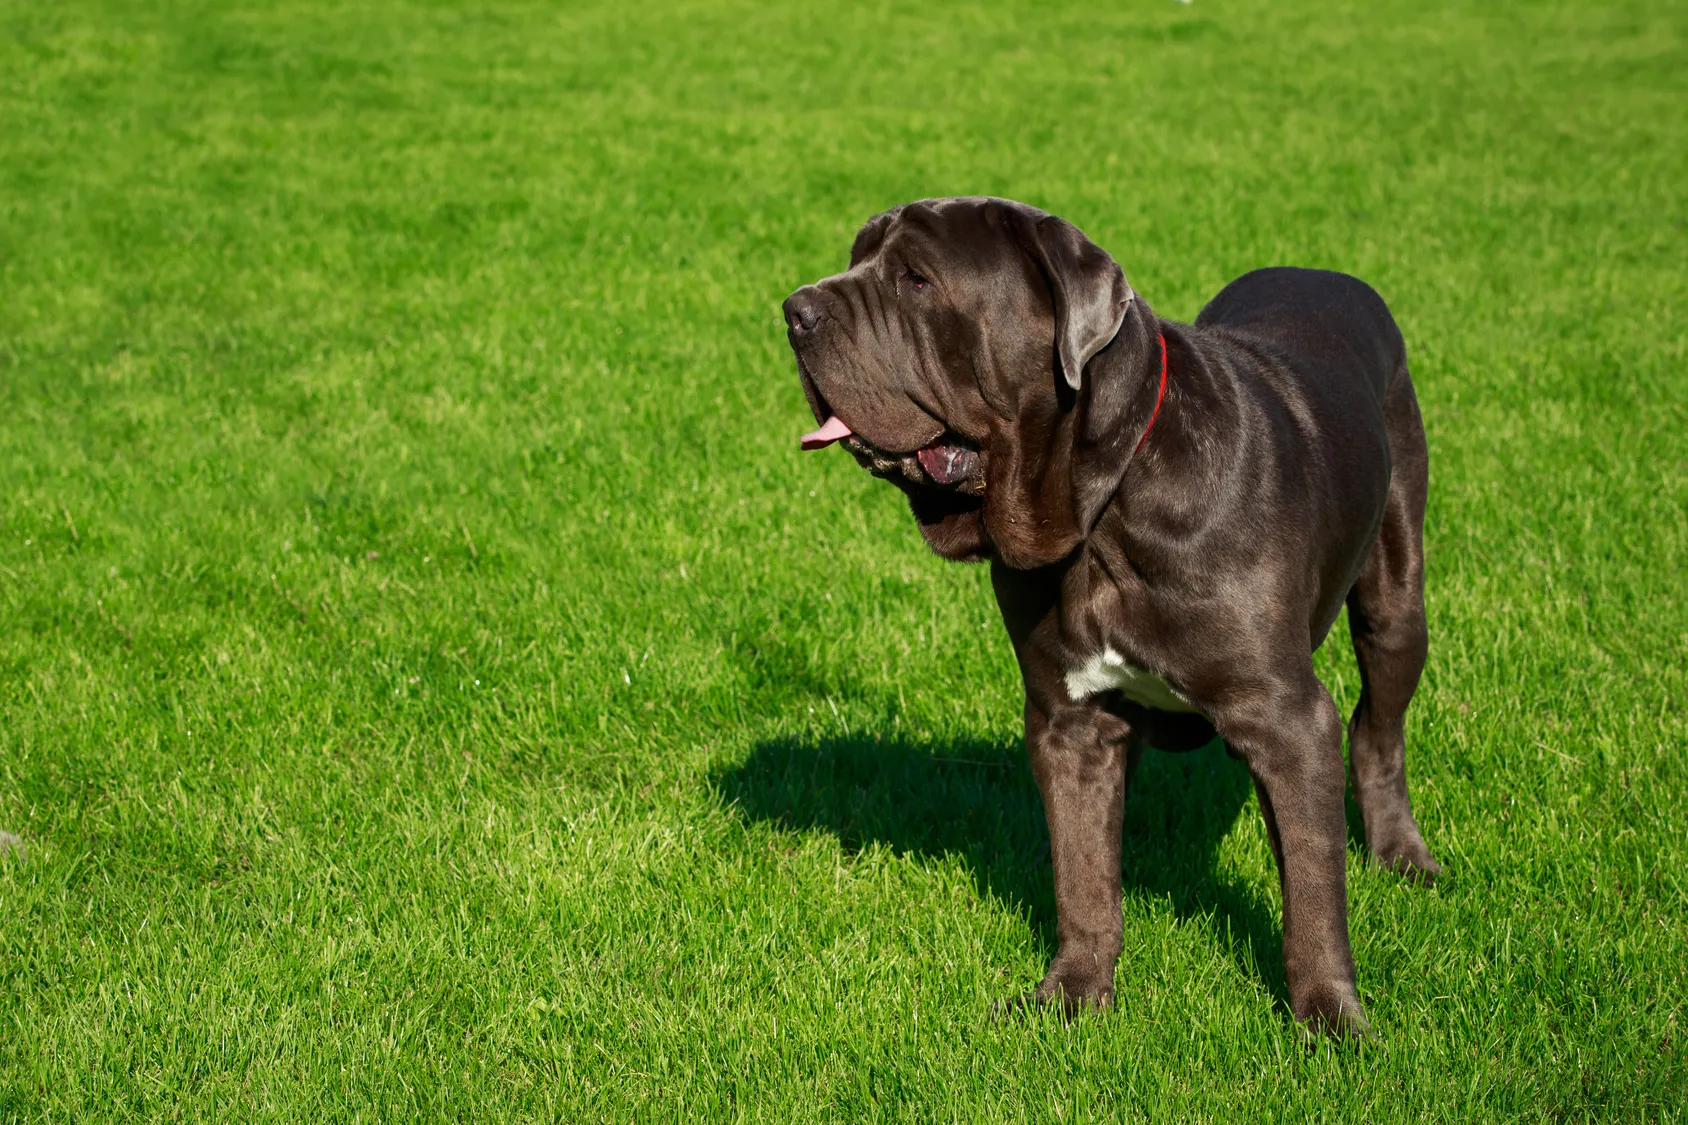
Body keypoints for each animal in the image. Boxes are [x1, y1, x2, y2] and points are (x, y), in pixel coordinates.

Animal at [783, 196, 1444, 1040]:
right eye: (856, 258)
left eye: (916, 279)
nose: (794, 310)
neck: (1104, 503)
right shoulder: (1071, 721)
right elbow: (1084, 874)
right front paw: (1071, 993)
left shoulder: (1285, 717)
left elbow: (1313, 890)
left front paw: (1331, 1018)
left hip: (1396, 593)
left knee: (1378, 724)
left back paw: (1402, 856)